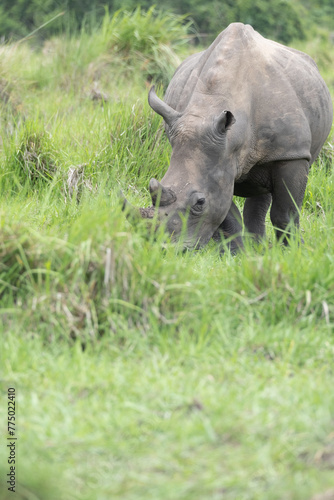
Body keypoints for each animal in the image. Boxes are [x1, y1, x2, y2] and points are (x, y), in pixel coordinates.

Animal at [124, 23, 332, 250]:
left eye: (200, 203)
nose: (169, 249)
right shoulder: (220, 161)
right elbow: (227, 216)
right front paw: (238, 253)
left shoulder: (291, 153)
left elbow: (286, 213)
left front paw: (292, 251)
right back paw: (253, 247)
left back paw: (261, 247)